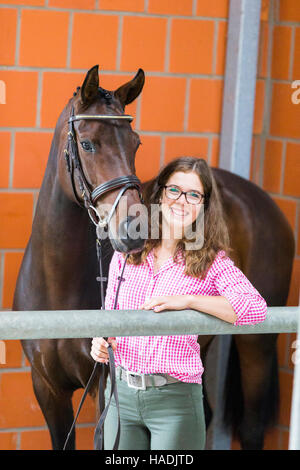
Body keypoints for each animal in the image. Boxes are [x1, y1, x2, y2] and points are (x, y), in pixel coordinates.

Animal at [12, 65, 294, 448]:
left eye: (136, 143)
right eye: (87, 143)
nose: (134, 231)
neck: (58, 284)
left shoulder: (105, 390)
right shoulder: (47, 389)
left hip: (258, 344)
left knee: (251, 427)